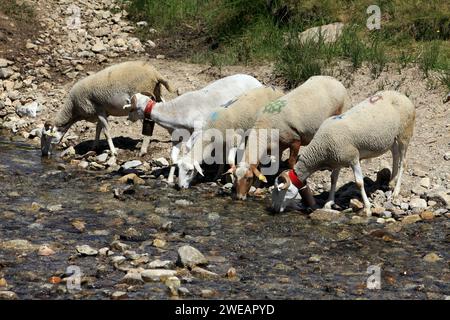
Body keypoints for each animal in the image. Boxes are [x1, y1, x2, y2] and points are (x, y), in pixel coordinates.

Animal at [40, 60, 174, 158]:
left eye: (45, 136)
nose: (43, 154)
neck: (74, 109)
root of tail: (155, 73)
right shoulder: (102, 112)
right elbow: (98, 129)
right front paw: (94, 147)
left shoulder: (99, 110)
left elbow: (106, 131)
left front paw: (113, 152)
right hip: (157, 93)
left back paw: (143, 150)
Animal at [123, 73, 264, 182]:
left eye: (132, 109)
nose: (128, 119)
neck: (176, 112)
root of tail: (257, 81)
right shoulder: (178, 136)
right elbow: (173, 157)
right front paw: (170, 179)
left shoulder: (199, 129)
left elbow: (188, 148)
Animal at [270, 90, 414, 215]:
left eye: (280, 191)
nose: (274, 209)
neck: (321, 147)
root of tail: (402, 95)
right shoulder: (337, 158)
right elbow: (333, 179)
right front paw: (328, 203)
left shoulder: (353, 157)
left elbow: (359, 183)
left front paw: (367, 208)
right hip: (392, 137)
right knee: (395, 154)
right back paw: (391, 182)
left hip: (405, 134)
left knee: (403, 162)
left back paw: (396, 191)